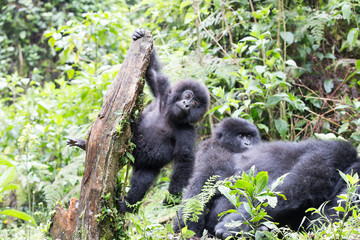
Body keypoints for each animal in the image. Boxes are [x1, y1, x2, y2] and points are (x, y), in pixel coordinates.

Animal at [67, 29, 210, 212]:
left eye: (194, 104)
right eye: (188, 95)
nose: (186, 104)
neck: (169, 116)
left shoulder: (188, 131)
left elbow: (184, 160)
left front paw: (172, 197)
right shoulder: (164, 94)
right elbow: (153, 74)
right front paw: (139, 35)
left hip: (144, 165)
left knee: (142, 180)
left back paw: (127, 204)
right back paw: (85, 144)